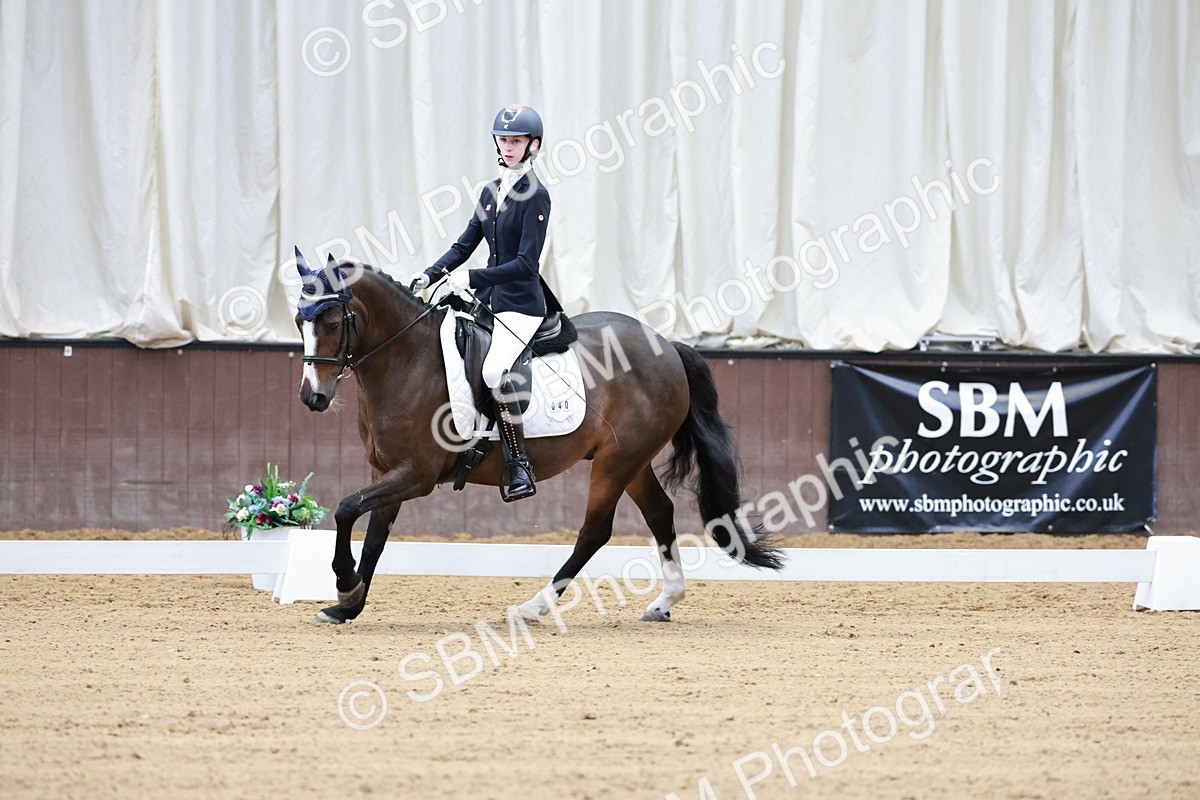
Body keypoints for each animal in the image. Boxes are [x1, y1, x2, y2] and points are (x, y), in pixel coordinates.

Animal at [294, 252, 784, 625]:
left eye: (333, 322)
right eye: (300, 321)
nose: (312, 397)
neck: (408, 360)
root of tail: (666, 345)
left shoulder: (417, 475)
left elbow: (346, 509)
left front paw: (344, 582)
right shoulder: (388, 470)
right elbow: (374, 535)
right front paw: (347, 606)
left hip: (616, 462)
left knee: (595, 531)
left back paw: (534, 607)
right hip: (632, 460)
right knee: (660, 514)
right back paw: (664, 602)